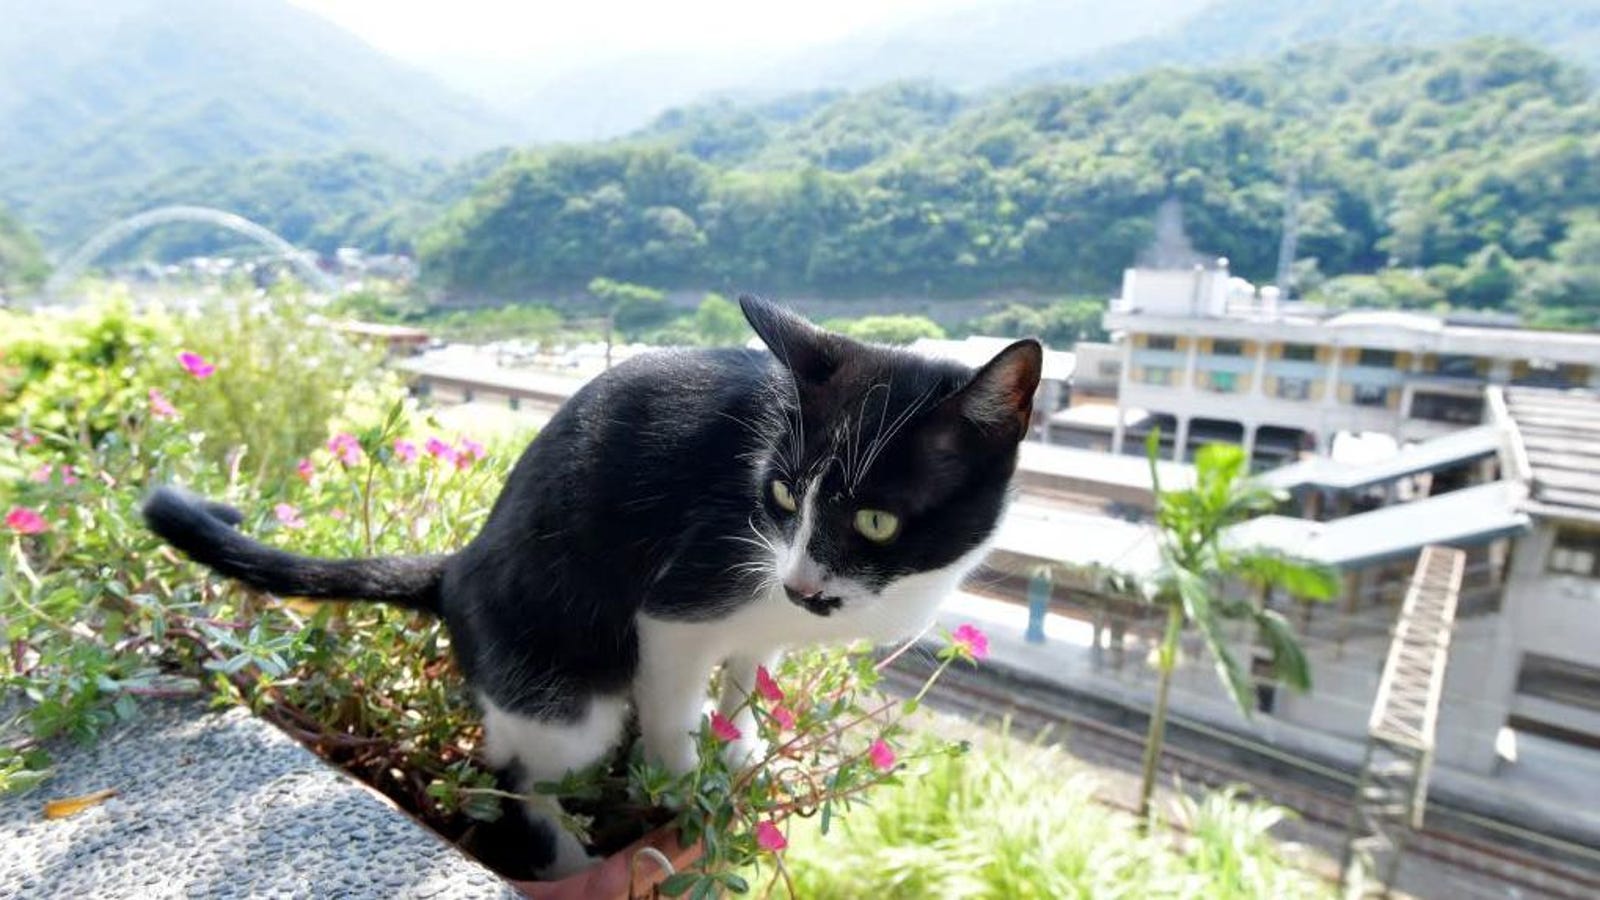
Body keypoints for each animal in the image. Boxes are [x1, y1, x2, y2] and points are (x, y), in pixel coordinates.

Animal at [144, 297, 1043, 871]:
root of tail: (456, 567)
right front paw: (686, 788)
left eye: (876, 522)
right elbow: (674, 710)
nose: (800, 582)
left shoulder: (766, 624)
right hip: (563, 689)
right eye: (784, 496)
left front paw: (742, 748)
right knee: (516, 772)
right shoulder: (688, 598)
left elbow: (749, 678)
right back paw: (573, 858)